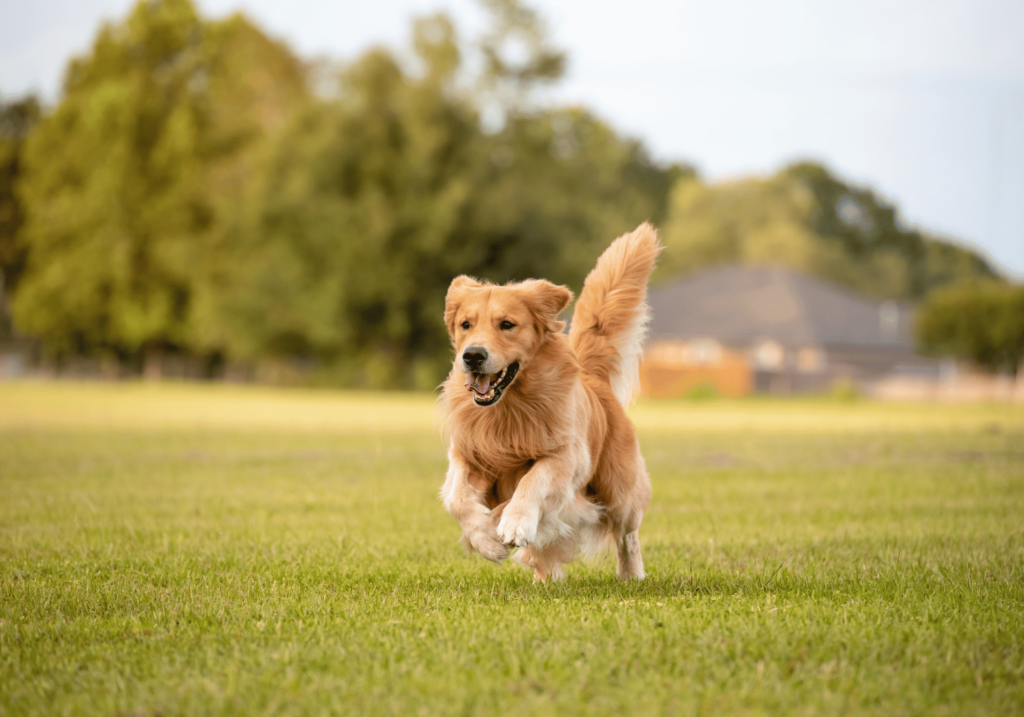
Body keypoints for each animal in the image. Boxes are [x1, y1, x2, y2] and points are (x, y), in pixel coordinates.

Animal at [436, 224, 659, 581]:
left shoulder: (567, 456)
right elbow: (456, 497)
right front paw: (485, 539)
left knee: (628, 535)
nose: (472, 356)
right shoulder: (466, 453)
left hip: (619, 488)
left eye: (507, 324)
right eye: (465, 324)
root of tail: (593, 378)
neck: (508, 408)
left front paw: (514, 522)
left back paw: (631, 575)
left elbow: (532, 480)